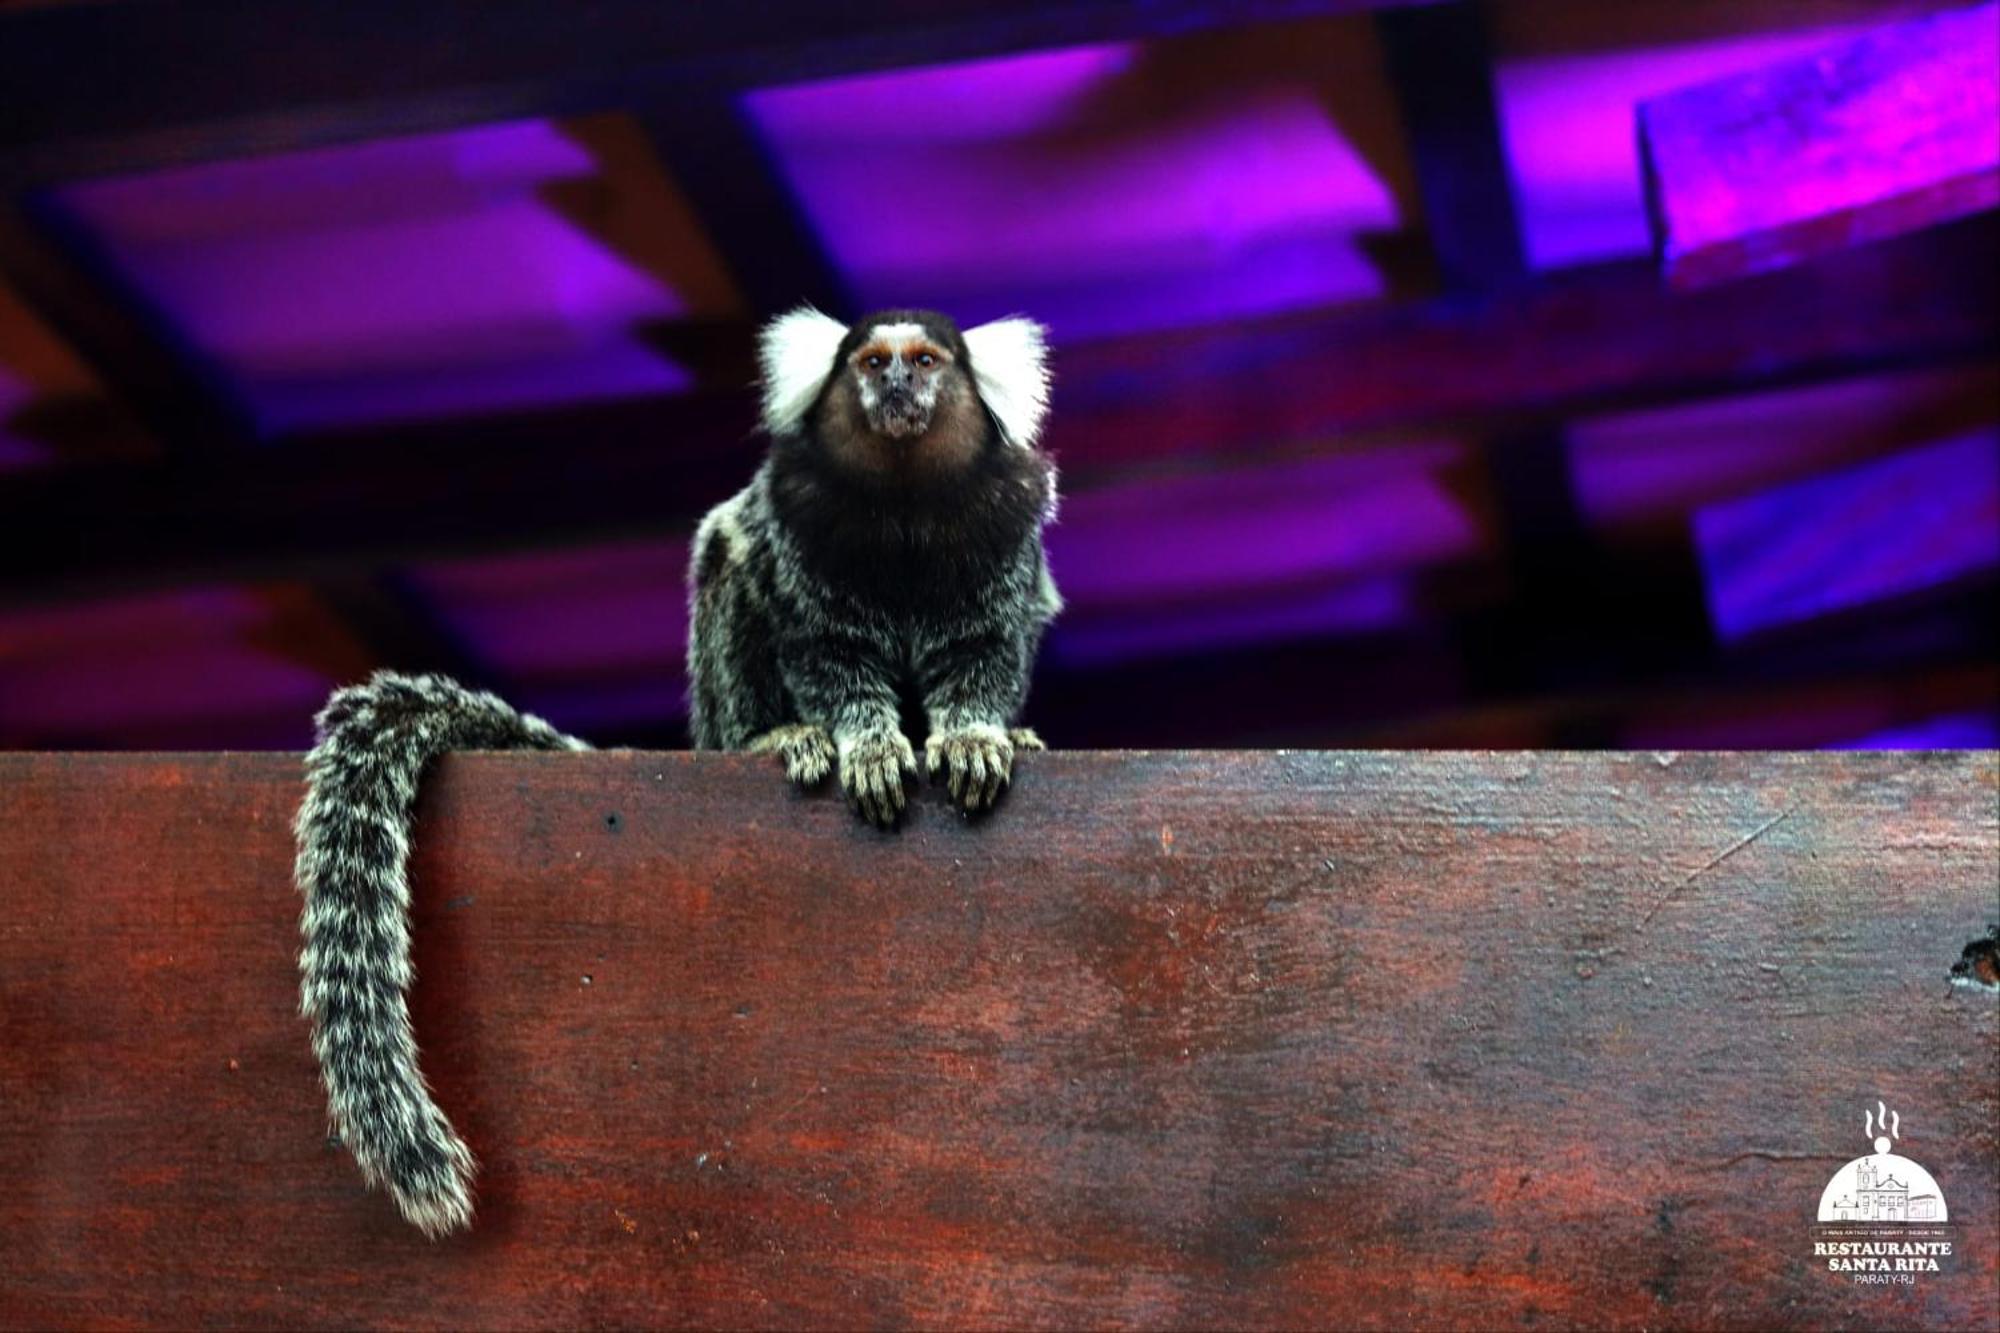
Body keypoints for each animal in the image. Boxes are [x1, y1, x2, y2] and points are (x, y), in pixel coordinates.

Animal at [292, 306, 1064, 1232]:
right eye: (873, 364)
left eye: (925, 361)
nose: (899, 388)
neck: (905, 502)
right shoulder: (799, 540)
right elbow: (827, 652)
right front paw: (868, 743)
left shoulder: (1003, 541)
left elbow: (986, 648)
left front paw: (976, 735)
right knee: (729, 557)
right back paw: (777, 736)